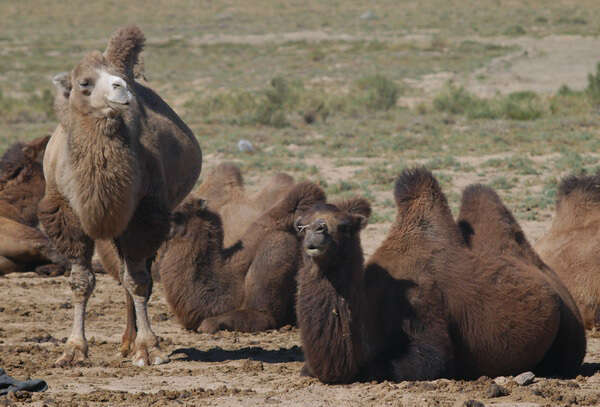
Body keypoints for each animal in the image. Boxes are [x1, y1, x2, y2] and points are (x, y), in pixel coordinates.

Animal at [41, 26, 204, 370]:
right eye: (84, 83)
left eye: (117, 77)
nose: (121, 88)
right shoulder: (67, 214)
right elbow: (81, 281)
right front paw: (73, 349)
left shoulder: (144, 214)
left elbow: (138, 280)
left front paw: (149, 348)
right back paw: (125, 342)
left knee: (136, 274)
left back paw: (132, 342)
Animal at [296, 167, 584, 384]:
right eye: (300, 226)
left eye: (344, 226)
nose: (317, 232)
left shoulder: (422, 307)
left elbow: (426, 362)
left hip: (570, 327)